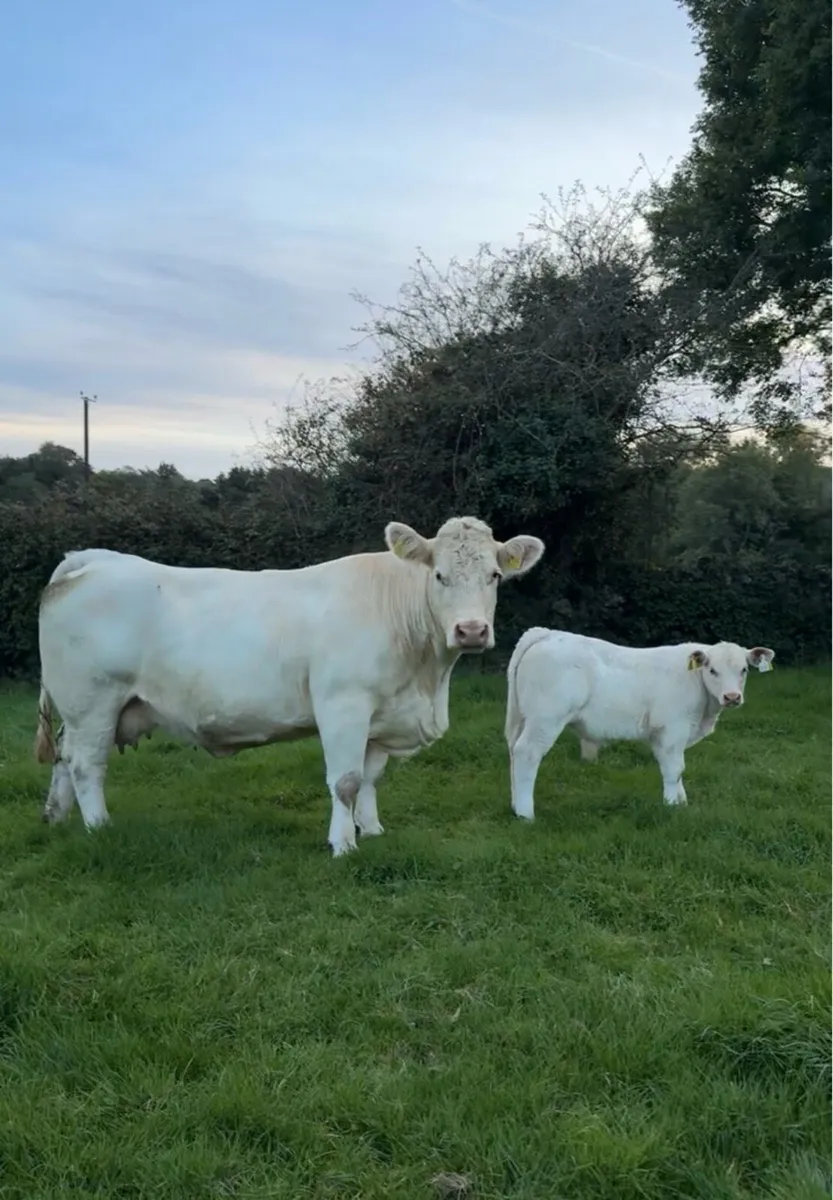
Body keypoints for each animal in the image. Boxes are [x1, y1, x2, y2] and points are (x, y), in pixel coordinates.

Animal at [34, 517, 545, 856]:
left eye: (494, 575)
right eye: (439, 575)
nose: (472, 631)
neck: (425, 679)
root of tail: (91, 561)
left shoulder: (382, 715)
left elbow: (371, 778)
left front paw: (372, 830)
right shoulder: (343, 704)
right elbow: (346, 780)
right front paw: (343, 844)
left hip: (83, 711)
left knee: (63, 757)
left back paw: (56, 819)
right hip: (93, 703)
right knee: (85, 765)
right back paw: (99, 828)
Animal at [504, 628, 775, 820]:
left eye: (744, 670)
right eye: (712, 670)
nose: (732, 697)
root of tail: (546, 633)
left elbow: (677, 771)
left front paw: (682, 803)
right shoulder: (672, 731)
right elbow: (674, 770)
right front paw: (671, 806)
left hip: (525, 719)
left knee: (513, 752)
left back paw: (516, 806)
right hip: (545, 719)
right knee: (527, 753)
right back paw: (526, 814)